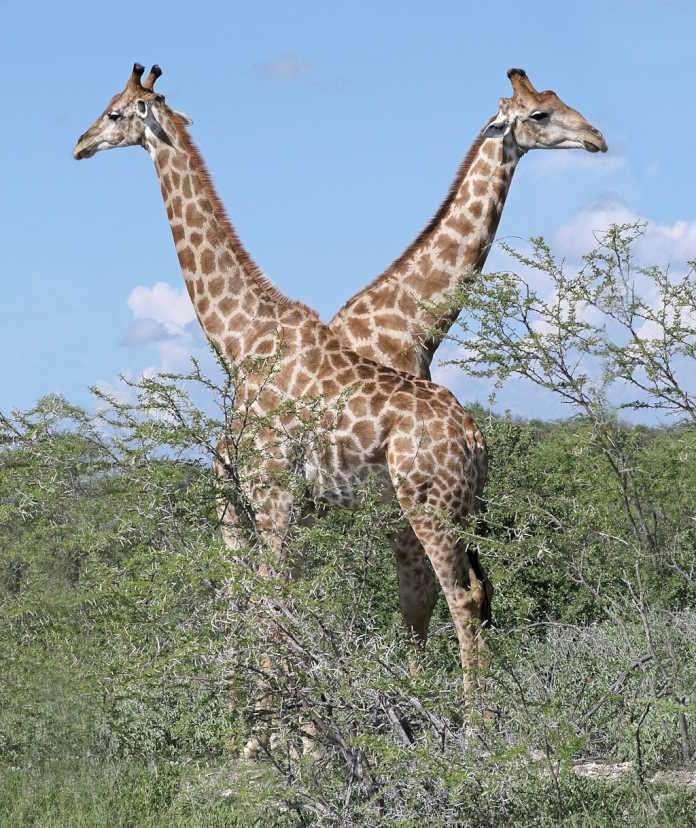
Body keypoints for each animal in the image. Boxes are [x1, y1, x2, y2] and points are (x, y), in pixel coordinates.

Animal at [73, 64, 491, 707]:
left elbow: (272, 604)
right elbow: (278, 603)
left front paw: (272, 726)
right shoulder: (275, 505)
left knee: (459, 595)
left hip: (429, 506)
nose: (81, 144)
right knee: (465, 593)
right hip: (457, 508)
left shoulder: (271, 495)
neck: (241, 337)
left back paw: (478, 723)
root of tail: (473, 437)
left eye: (115, 112)